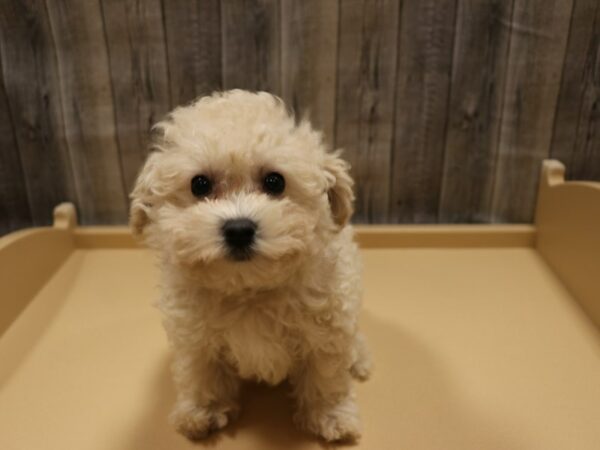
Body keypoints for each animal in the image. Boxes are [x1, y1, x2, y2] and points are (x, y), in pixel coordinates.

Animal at [131, 89, 370, 442]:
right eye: (200, 185)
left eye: (275, 182)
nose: (239, 229)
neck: (249, 290)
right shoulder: (196, 337)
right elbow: (202, 371)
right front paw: (204, 410)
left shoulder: (327, 329)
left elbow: (326, 375)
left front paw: (331, 415)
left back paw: (360, 358)